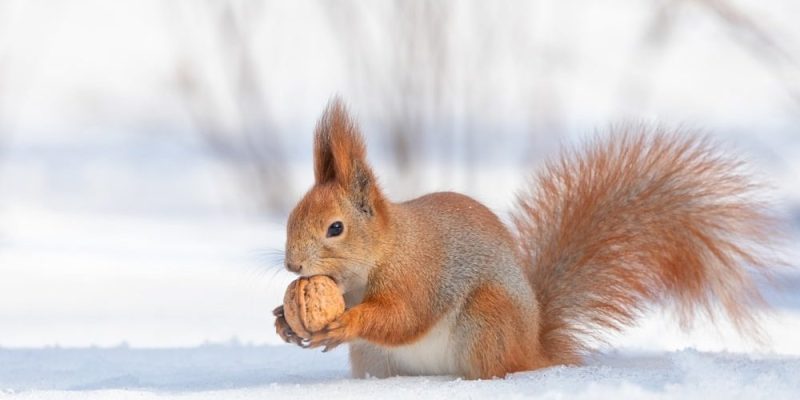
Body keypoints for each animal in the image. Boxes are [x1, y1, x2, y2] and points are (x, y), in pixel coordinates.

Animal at [272, 99, 780, 378]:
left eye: (335, 228)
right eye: (292, 216)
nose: (293, 266)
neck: (380, 254)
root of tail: (534, 349)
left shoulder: (422, 274)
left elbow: (403, 316)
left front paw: (345, 322)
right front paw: (283, 320)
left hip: (487, 319)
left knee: (496, 369)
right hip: (375, 360)